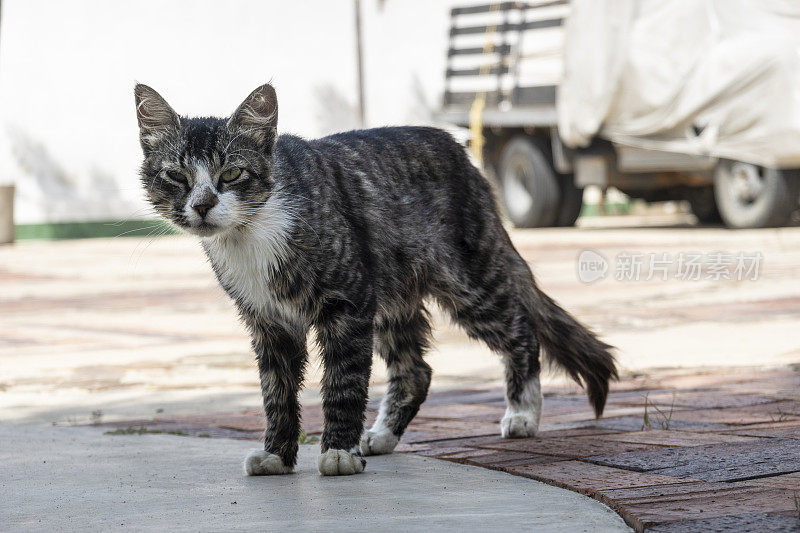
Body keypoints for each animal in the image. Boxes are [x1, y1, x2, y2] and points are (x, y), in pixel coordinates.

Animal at [134, 82, 616, 474]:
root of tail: (458, 149)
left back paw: (522, 414)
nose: (201, 205)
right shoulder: (269, 322)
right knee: (416, 369)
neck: (249, 235)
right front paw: (277, 455)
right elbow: (277, 393)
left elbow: (343, 383)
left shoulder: (348, 303)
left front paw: (338, 453)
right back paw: (382, 436)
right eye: (176, 176)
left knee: (522, 331)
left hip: (468, 283)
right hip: (391, 299)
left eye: (231, 173)